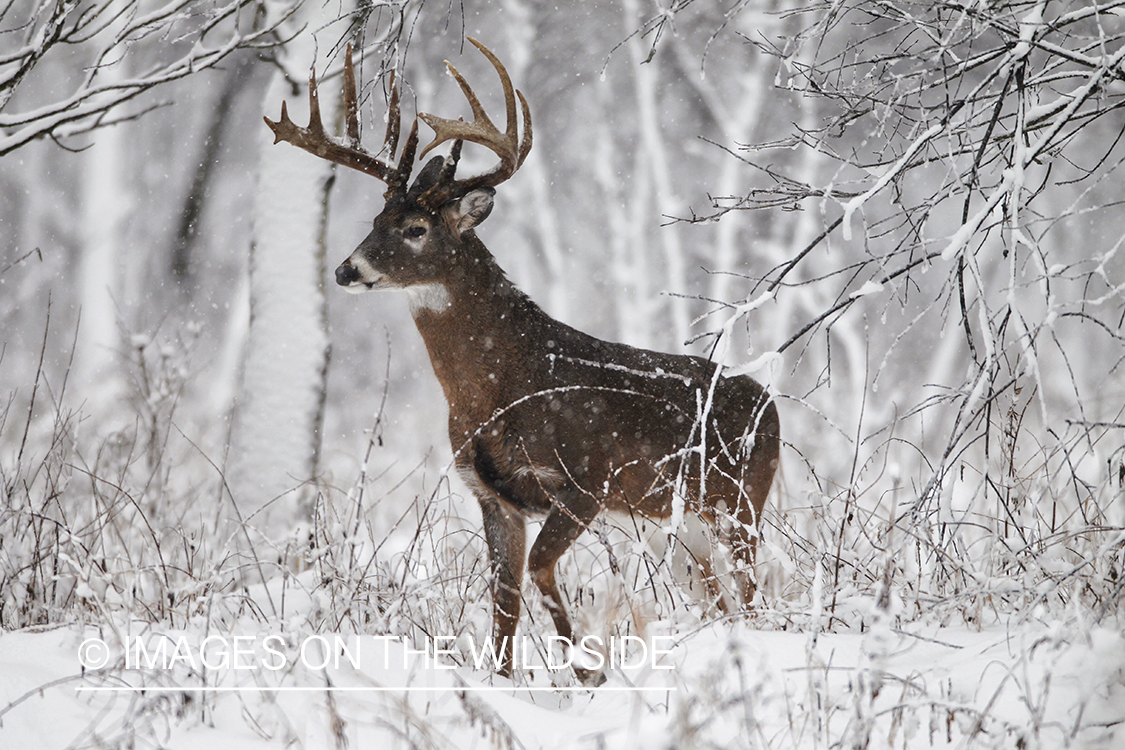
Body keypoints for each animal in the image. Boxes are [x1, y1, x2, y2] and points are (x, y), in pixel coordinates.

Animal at [266, 41, 778, 688]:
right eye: (375, 222)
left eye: (415, 228)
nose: (345, 269)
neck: (497, 389)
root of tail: (770, 402)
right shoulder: (491, 495)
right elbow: (503, 597)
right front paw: (506, 681)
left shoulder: (585, 480)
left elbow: (538, 570)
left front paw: (587, 670)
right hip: (684, 519)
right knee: (718, 594)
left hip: (740, 501)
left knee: (751, 590)